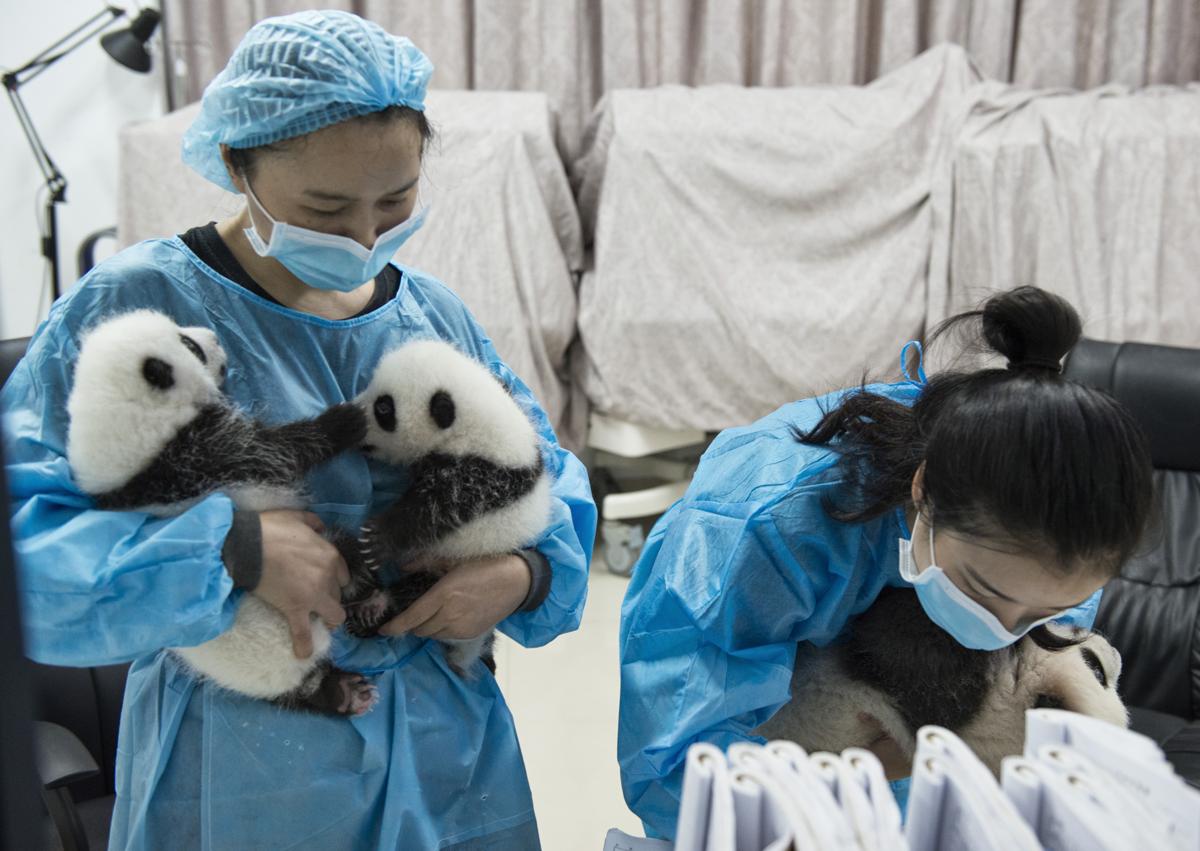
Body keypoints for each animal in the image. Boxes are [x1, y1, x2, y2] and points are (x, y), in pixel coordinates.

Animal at [66, 309, 374, 715]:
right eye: (188, 344)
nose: (212, 335)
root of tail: (308, 652)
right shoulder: (205, 453)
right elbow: (280, 450)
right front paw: (345, 422)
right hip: (321, 558)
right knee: (349, 555)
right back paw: (366, 609)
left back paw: (340, 691)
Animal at [338, 338, 552, 676]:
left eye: (383, 409)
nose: (350, 416)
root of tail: (469, 646)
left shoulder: (483, 476)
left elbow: (438, 508)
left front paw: (377, 539)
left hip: (447, 568)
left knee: (414, 594)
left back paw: (375, 609)